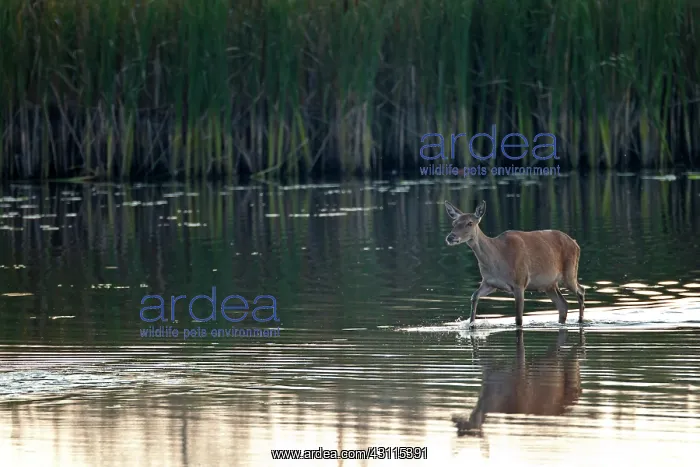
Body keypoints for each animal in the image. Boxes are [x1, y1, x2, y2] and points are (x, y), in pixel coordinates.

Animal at [444, 200, 585, 327]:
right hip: (549, 284)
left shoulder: (520, 282)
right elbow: (474, 296)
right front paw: (472, 324)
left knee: (581, 291)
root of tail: (576, 243)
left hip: (569, 273)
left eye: (470, 223)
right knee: (563, 305)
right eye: (454, 223)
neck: (498, 260)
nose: (450, 237)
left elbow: (518, 320)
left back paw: (580, 320)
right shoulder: (489, 282)